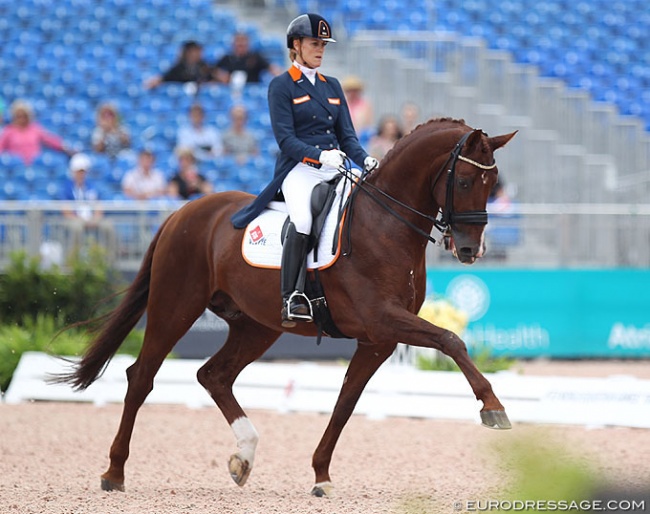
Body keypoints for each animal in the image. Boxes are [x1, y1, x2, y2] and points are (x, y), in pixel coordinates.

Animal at [60, 118, 516, 494]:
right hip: (175, 306)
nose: (470, 250)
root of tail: (182, 212)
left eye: (492, 183)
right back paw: (114, 473)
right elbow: (451, 339)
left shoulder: (378, 339)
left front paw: (322, 475)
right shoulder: (384, 321)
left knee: (214, 375)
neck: (385, 224)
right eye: (464, 182)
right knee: (141, 377)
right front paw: (493, 407)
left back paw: (243, 457)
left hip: (257, 325)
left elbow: (346, 402)